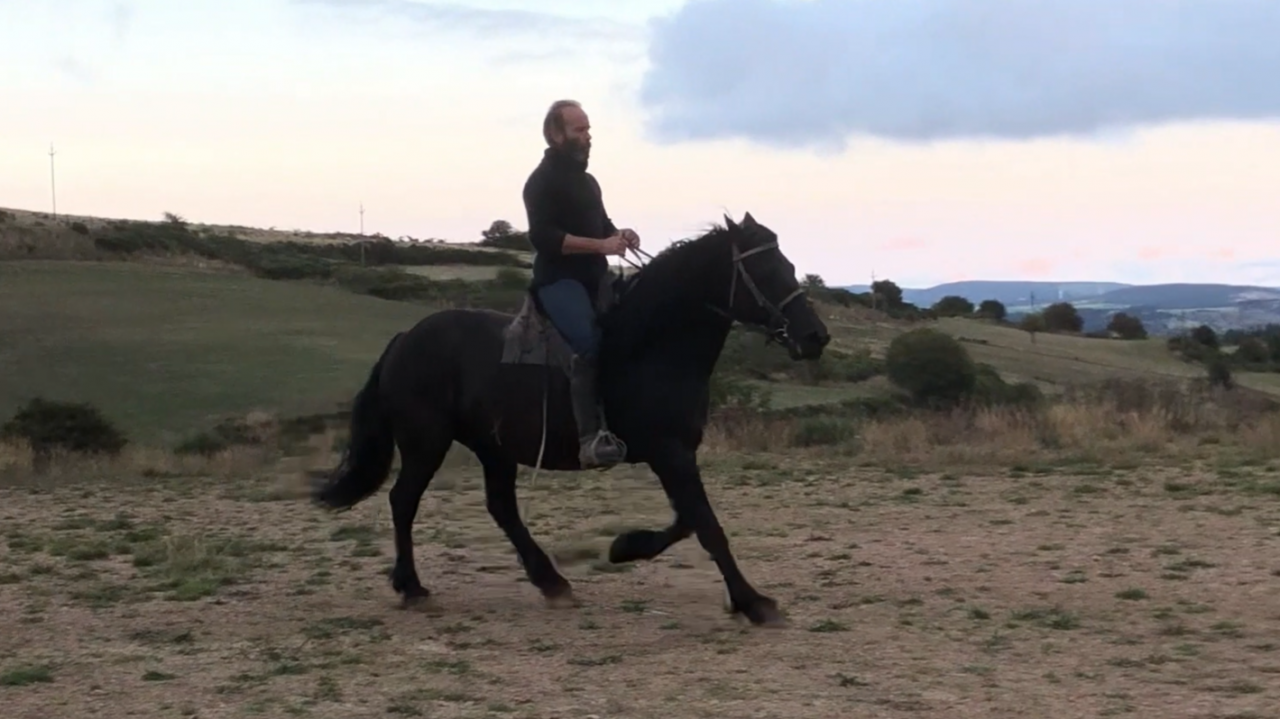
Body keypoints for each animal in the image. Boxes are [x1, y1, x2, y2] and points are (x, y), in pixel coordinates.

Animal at [311, 211, 832, 626]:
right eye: (765, 269)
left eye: (788, 266)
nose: (815, 337)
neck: (653, 345)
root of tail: (406, 338)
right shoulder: (670, 453)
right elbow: (706, 526)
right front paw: (753, 602)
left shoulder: (676, 453)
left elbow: (688, 521)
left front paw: (625, 547)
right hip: (426, 442)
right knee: (403, 501)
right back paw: (412, 587)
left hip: (492, 447)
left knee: (501, 508)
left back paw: (551, 582)